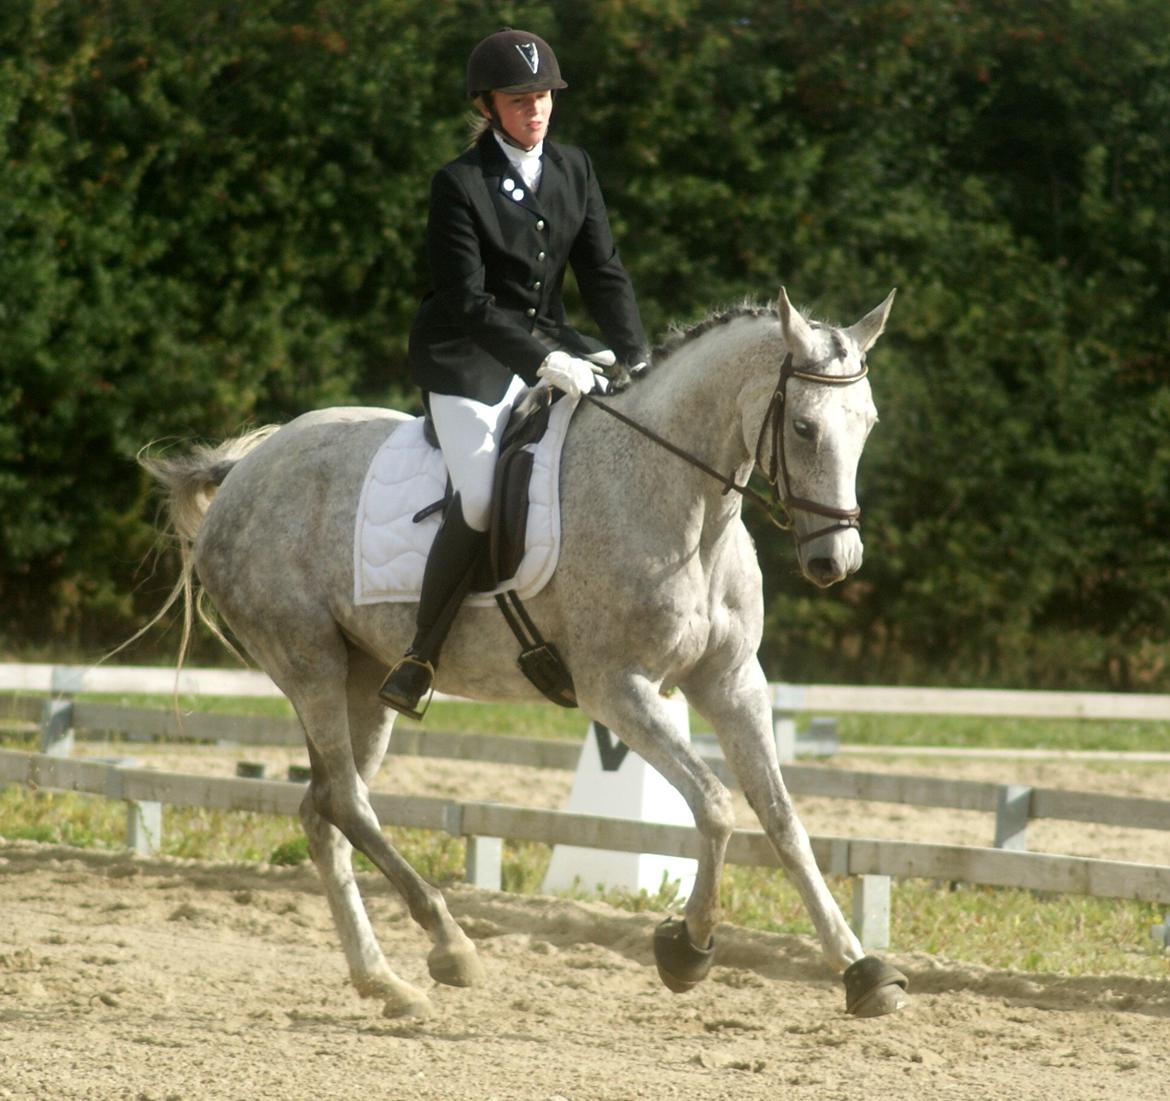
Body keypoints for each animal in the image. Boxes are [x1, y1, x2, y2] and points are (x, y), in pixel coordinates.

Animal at [139, 287, 903, 1020]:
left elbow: (782, 819)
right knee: (346, 800)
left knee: (322, 813)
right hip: (309, 662)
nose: (835, 561)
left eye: (868, 423)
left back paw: (386, 982)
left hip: (368, 675)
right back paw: (449, 944)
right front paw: (685, 949)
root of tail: (245, 467)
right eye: (803, 427)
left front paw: (863, 971)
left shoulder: (732, 682)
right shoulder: (618, 689)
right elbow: (716, 806)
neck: (678, 501)